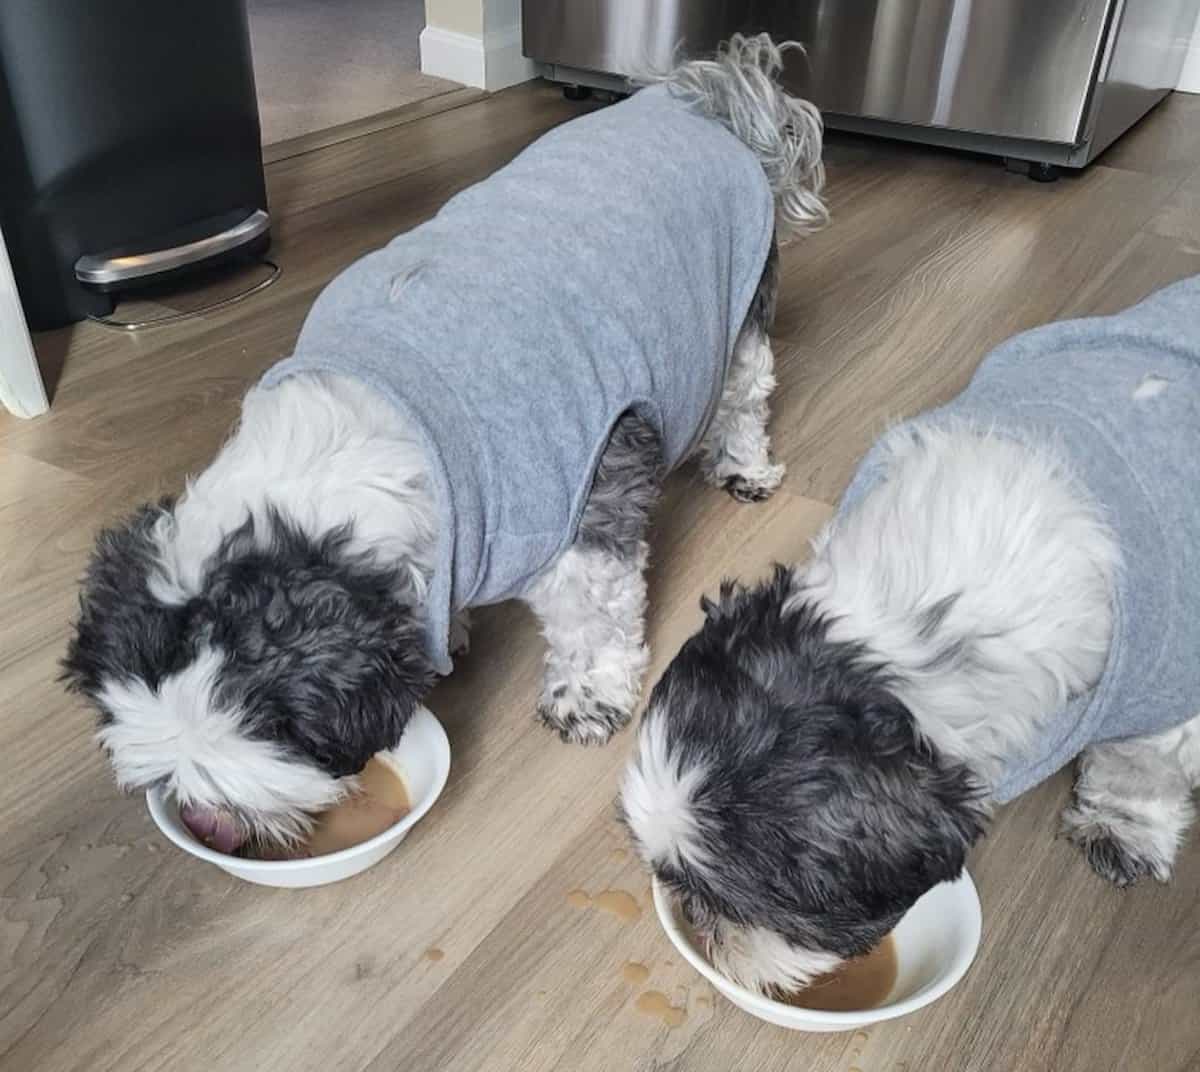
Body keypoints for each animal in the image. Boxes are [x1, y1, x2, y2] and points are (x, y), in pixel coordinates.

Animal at [58, 35, 825, 854]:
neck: (363, 438)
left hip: (740, 309)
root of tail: (699, 98)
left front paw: (588, 693)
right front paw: (451, 630)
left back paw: (743, 466)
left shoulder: (582, 508)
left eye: (240, 794)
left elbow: (592, 615)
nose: (210, 822)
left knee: (745, 390)